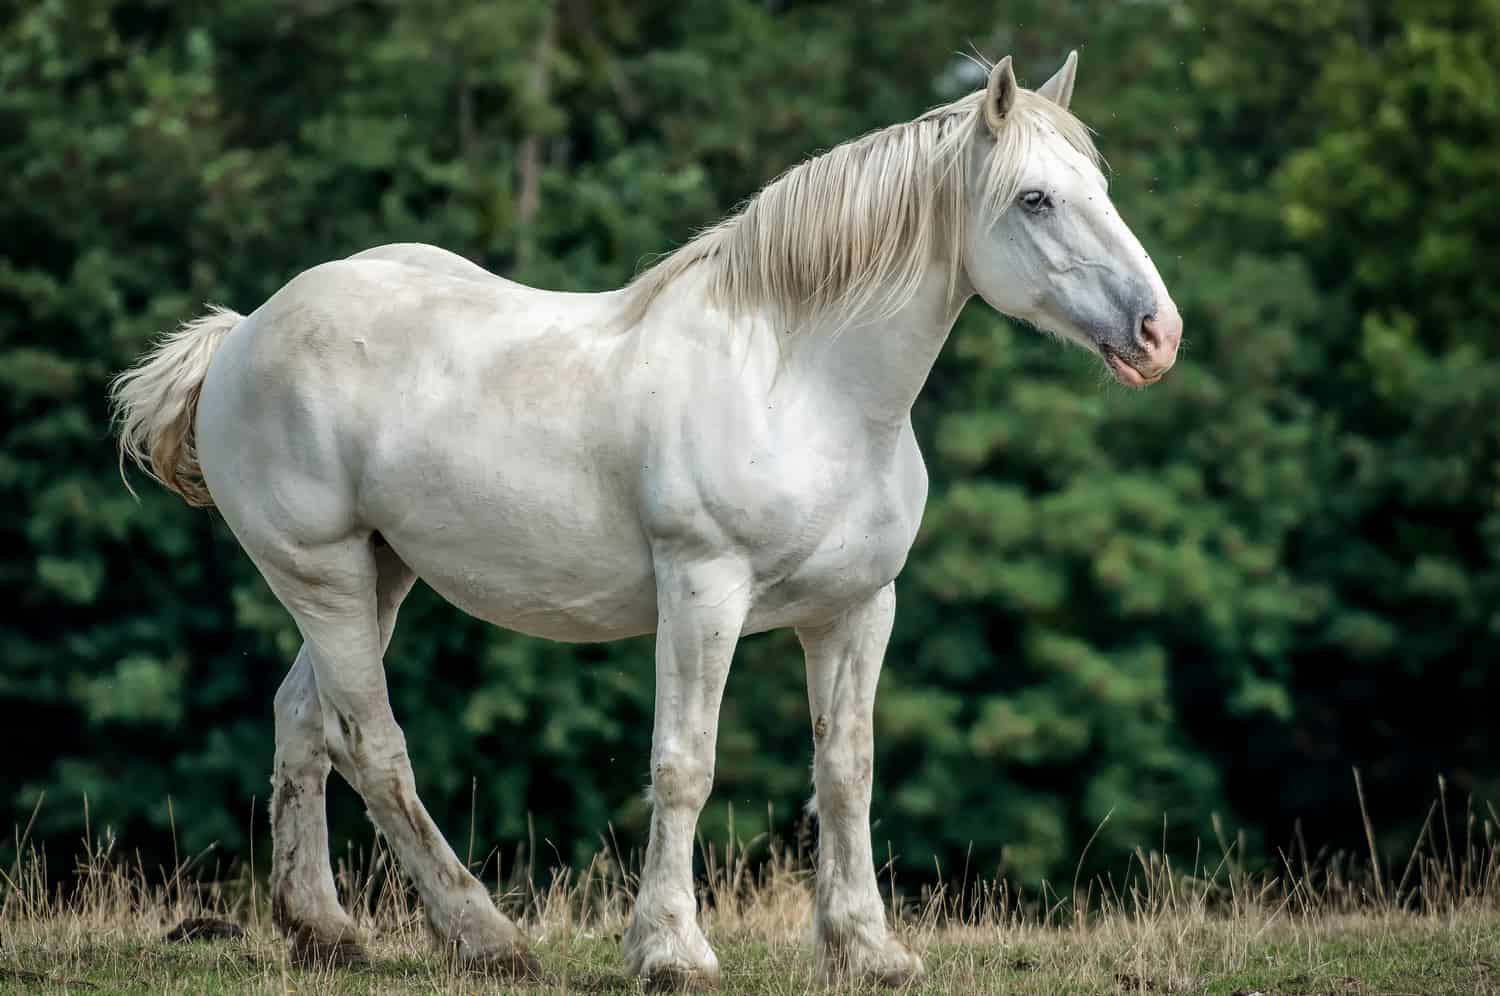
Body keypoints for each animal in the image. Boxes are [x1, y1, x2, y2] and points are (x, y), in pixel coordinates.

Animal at [111, 52, 1181, 988]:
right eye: (1035, 199)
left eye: (1098, 184)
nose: (1158, 332)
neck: (806, 386)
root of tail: (243, 334)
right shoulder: (703, 593)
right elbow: (684, 766)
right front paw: (671, 951)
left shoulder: (856, 609)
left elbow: (847, 769)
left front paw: (870, 951)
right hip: (324, 572)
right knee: (370, 743)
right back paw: (486, 938)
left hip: (379, 574)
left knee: (304, 722)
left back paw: (325, 932)